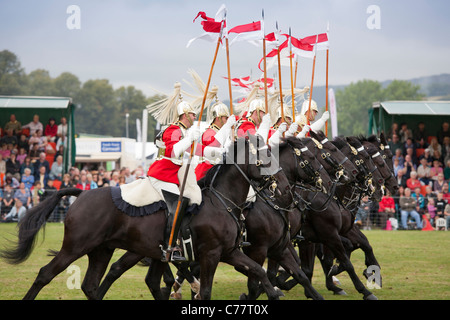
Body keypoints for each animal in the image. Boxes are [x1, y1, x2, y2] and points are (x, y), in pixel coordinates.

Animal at [0, 134, 288, 300]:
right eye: (265, 155)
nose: (283, 186)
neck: (221, 201)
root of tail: (82, 194)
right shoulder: (211, 255)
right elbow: (205, 291)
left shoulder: (229, 252)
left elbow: (259, 273)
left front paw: (274, 292)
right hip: (75, 247)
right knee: (45, 274)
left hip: (102, 250)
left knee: (91, 286)